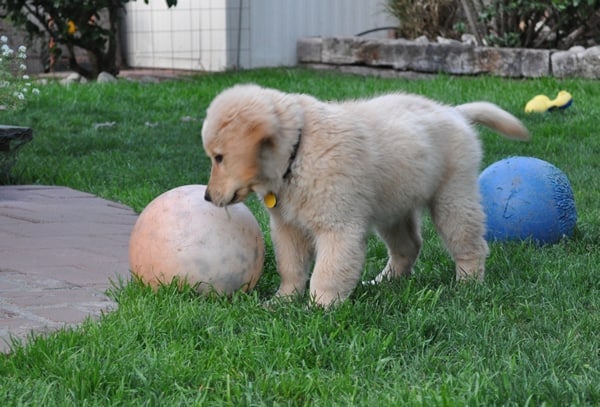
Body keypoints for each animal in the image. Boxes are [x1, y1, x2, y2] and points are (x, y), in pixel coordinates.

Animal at [203, 84, 528, 308]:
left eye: (219, 158)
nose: (206, 197)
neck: (298, 151)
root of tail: (454, 111)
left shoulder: (338, 226)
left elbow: (328, 271)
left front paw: (319, 308)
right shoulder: (288, 227)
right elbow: (291, 267)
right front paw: (282, 301)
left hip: (452, 195)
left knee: (469, 243)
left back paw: (468, 284)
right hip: (394, 208)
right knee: (409, 246)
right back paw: (384, 281)